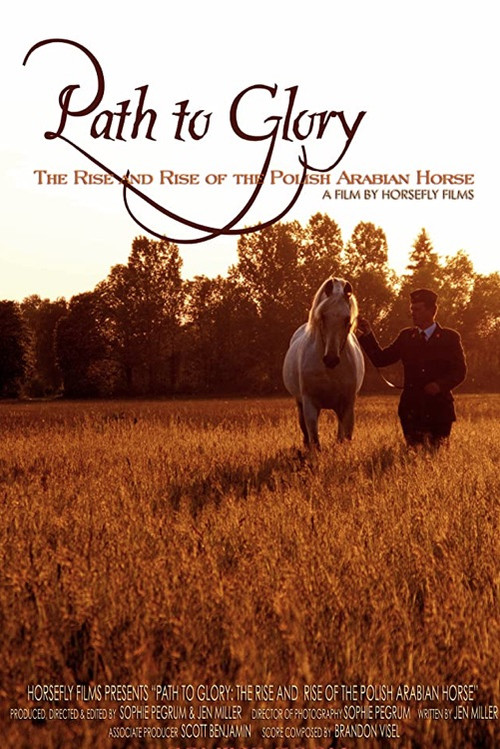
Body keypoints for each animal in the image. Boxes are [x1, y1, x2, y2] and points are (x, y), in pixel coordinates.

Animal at [282, 277, 365, 449]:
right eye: (323, 316)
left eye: (347, 319)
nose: (331, 359)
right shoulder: (309, 404)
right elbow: (314, 439)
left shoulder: (347, 405)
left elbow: (345, 435)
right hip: (300, 402)